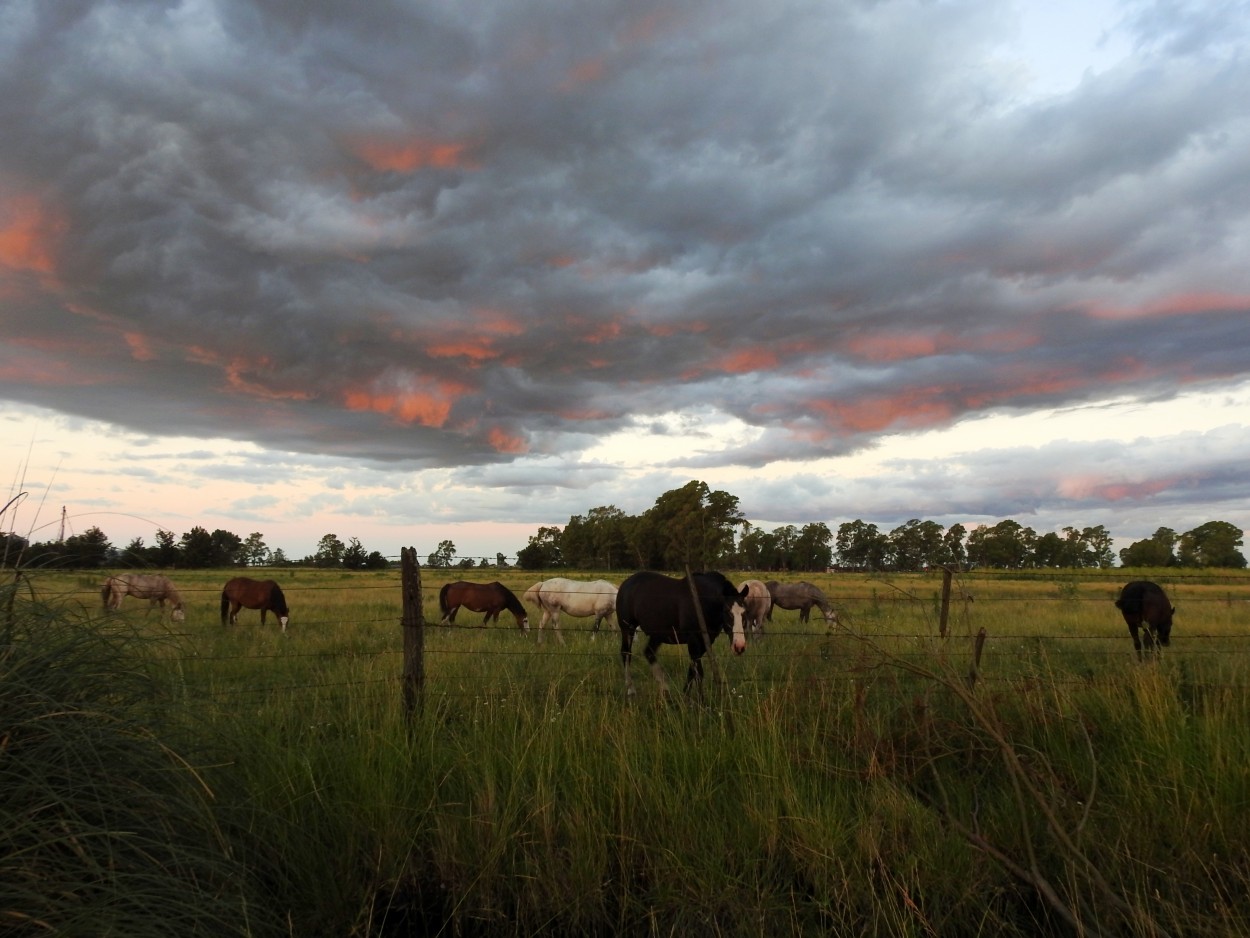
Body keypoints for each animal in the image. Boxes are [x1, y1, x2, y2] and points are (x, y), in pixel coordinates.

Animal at [612, 572, 745, 700]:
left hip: (657, 635)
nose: (739, 646)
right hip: (628, 629)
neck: (702, 601)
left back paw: (665, 689)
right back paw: (631, 689)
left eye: (745, 613)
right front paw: (701, 701)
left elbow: (692, 671)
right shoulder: (694, 640)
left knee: (649, 652)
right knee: (626, 654)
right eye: (727, 612)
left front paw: (686, 695)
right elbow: (698, 672)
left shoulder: (705, 642)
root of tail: (626, 583)